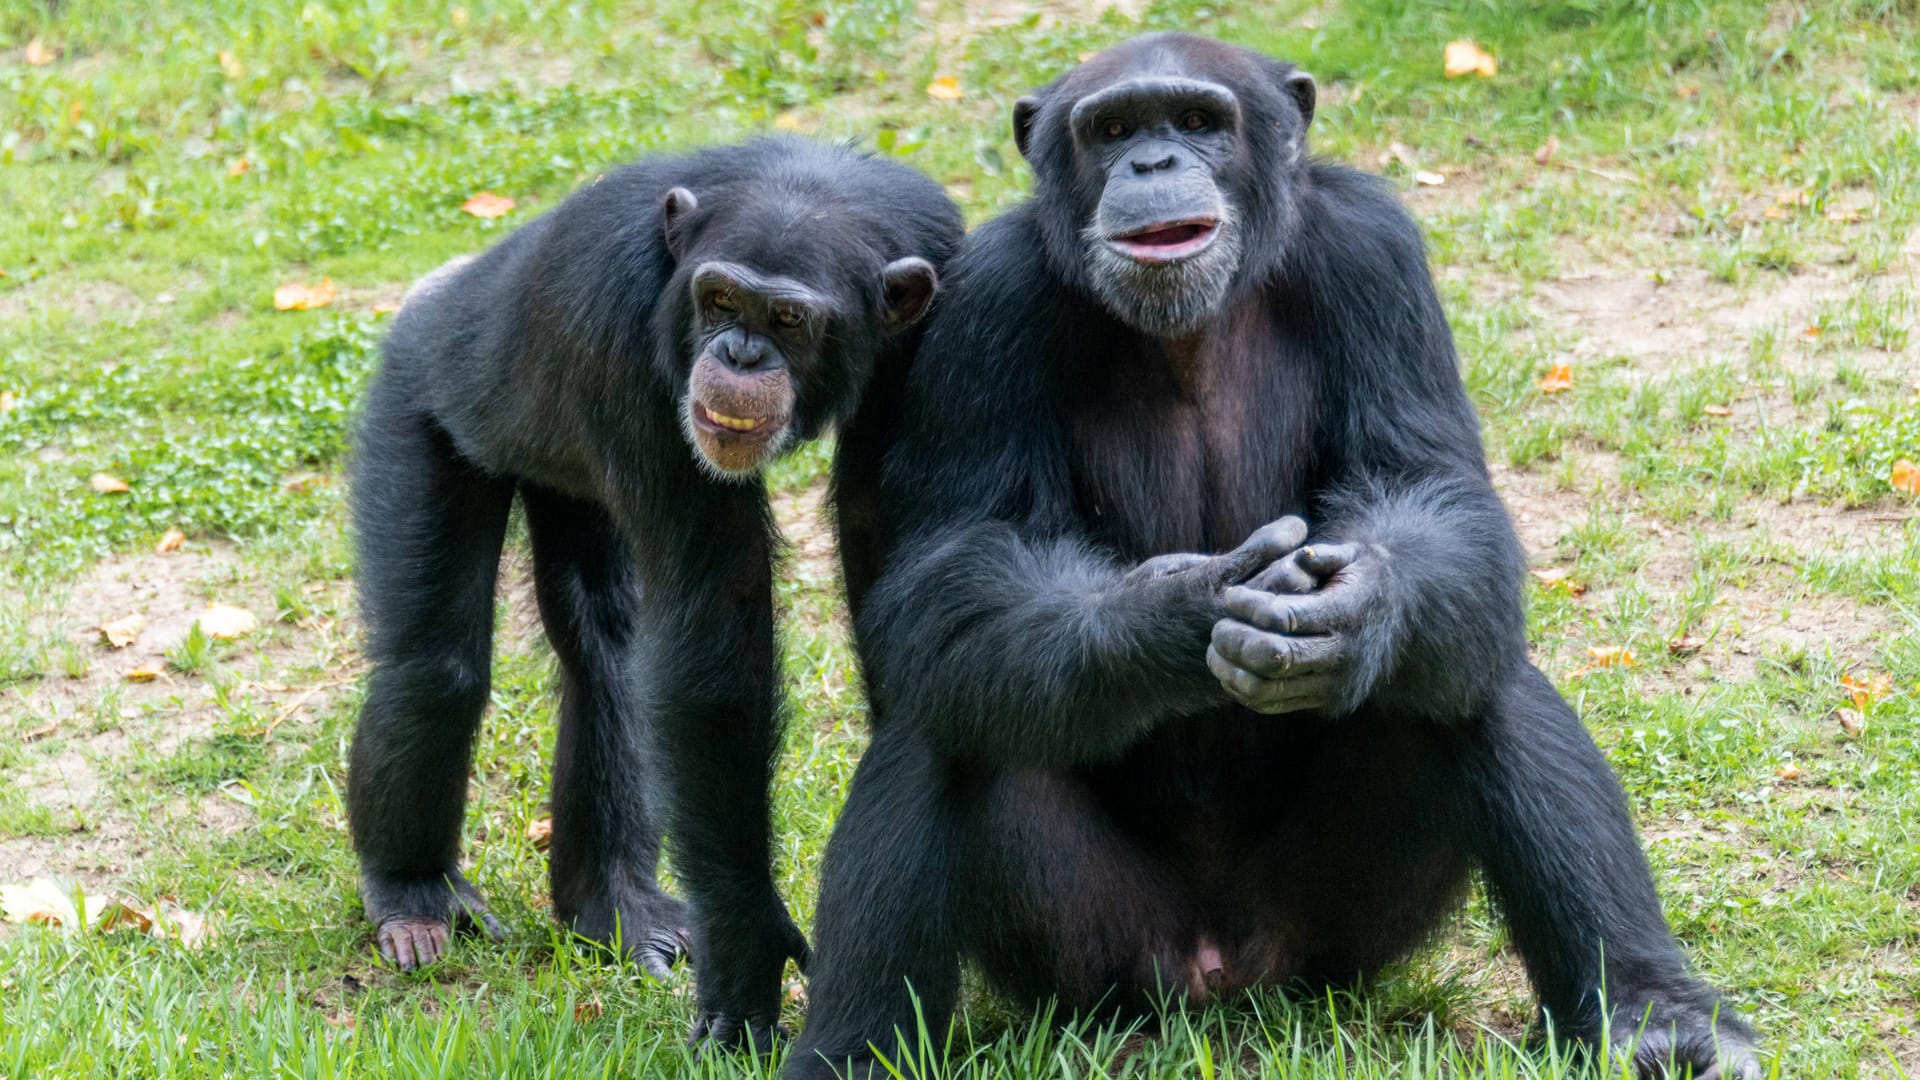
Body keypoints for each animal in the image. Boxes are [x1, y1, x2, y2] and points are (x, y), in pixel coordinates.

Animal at [345, 136, 960, 1053]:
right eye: (719, 299)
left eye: (787, 321)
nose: (739, 355)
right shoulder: (619, 330)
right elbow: (712, 628)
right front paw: (746, 946)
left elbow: (887, 545)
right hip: (414, 400)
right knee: (432, 668)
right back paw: (412, 892)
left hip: (568, 486)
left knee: (605, 651)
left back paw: (613, 908)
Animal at [791, 33, 1758, 1076]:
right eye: (1114, 129)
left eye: (1198, 121)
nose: (1153, 164)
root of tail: (1223, 976)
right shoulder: (988, 299)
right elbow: (957, 560)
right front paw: (1172, 616)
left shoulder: (1376, 252)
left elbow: (1437, 493)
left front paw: (1358, 613)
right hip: (1096, 957)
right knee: (948, 713)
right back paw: (848, 1050)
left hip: (1333, 934)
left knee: (1476, 675)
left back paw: (1658, 1015)